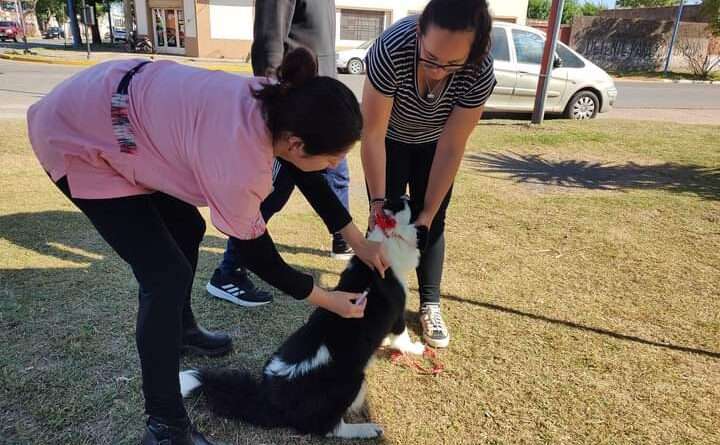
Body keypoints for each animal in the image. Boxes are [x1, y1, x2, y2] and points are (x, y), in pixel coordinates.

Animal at [181, 199, 428, 438]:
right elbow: (403, 338)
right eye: (411, 204)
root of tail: (270, 397)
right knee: (328, 428)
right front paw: (417, 349)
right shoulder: (397, 314)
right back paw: (366, 430)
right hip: (352, 381)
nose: (421, 205)